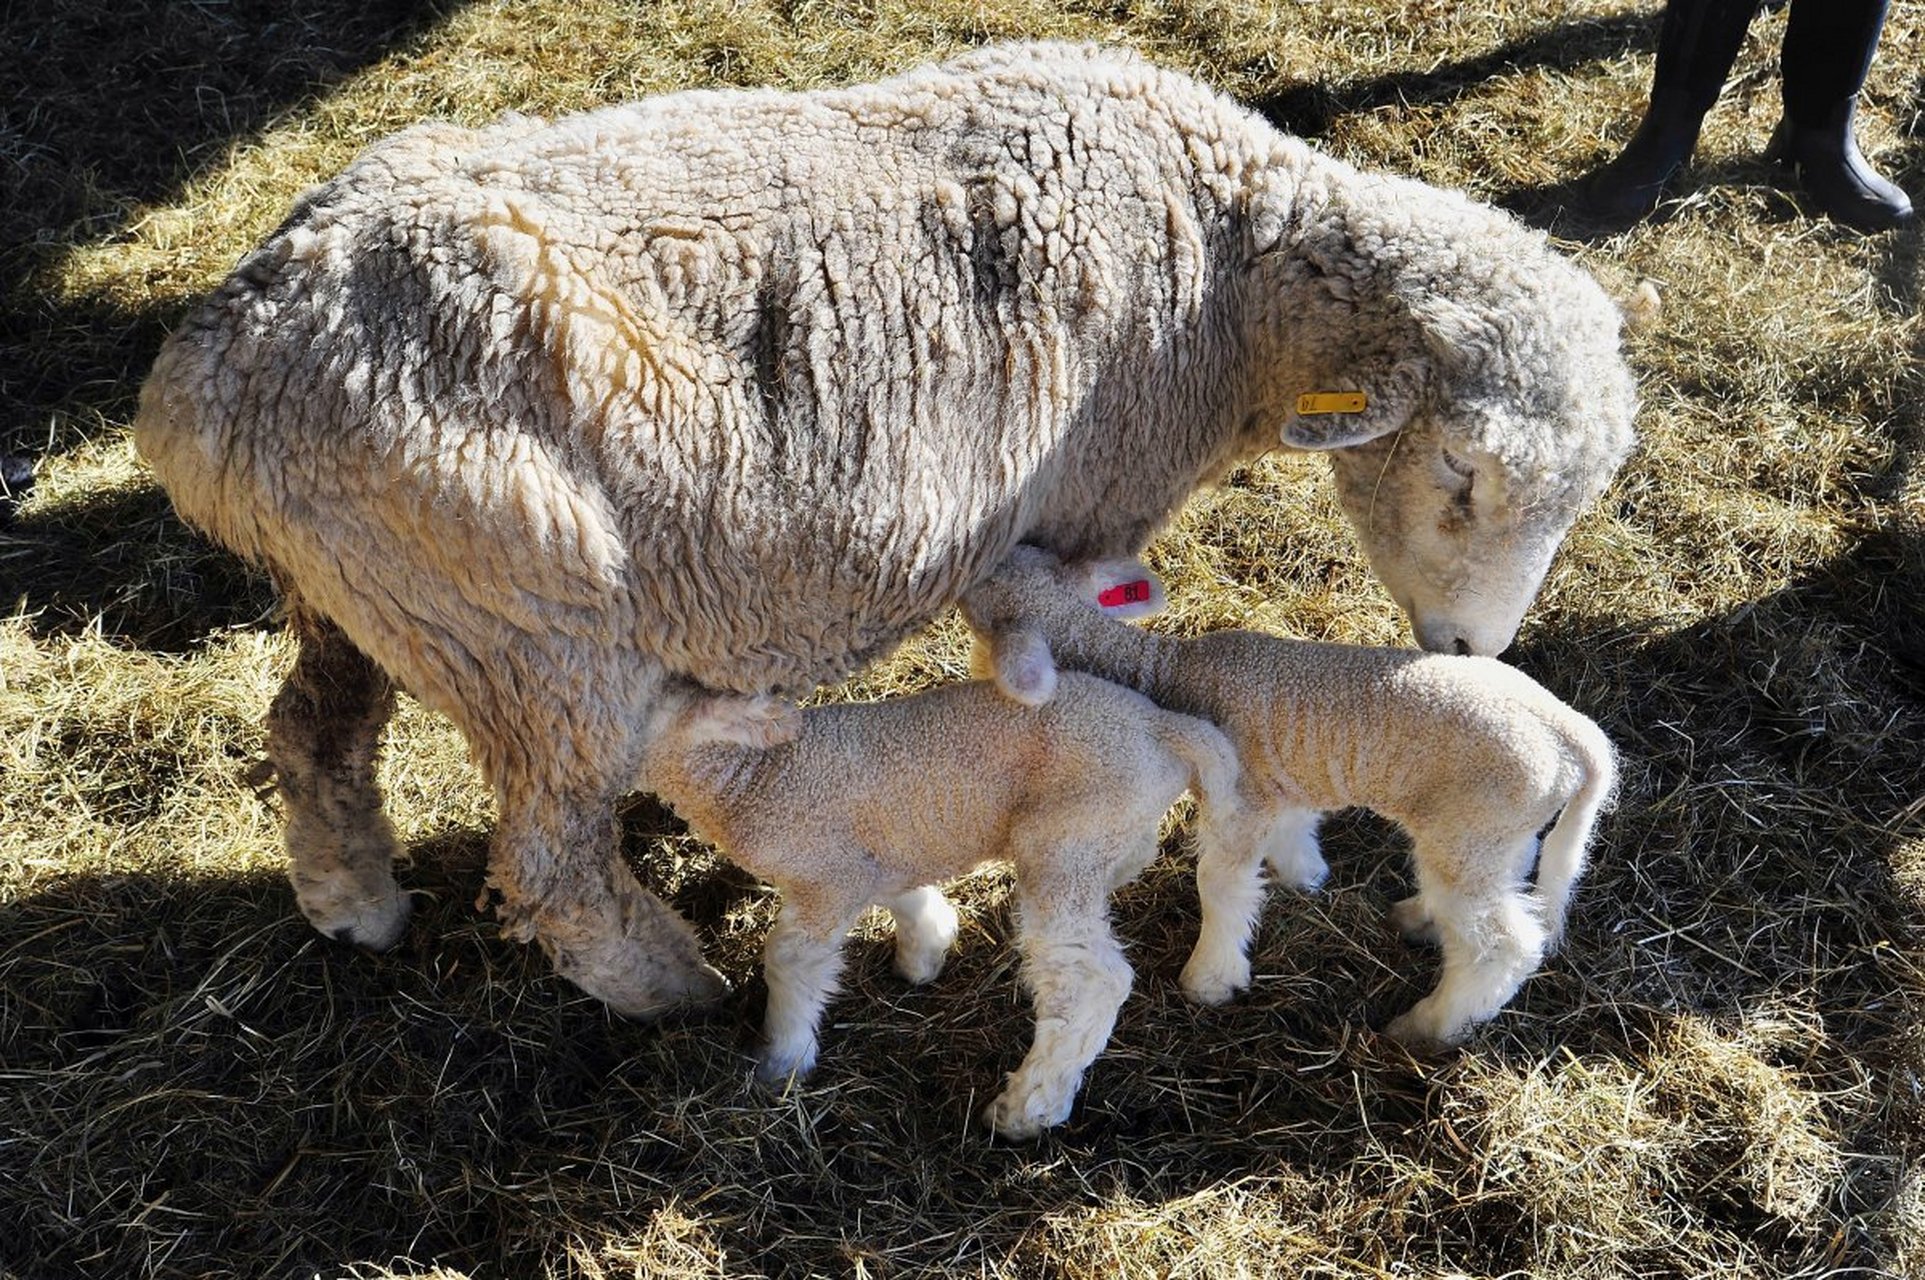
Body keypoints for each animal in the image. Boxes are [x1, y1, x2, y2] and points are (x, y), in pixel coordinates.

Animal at [631, 673, 1232, 1131]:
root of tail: (1163, 727)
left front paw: (781, 1059)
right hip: (1100, 834)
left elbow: (788, 961)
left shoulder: (828, 875)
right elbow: (909, 896)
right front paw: (925, 953)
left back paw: (1028, 1107)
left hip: (1067, 842)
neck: (755, 777)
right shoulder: (880, 854)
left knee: (1090, 980)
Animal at [954, 542, 1617, 1047]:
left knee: (1501, 947)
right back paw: (1420, 918)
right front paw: (1305, 875)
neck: (1169, 672)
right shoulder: (1277, 783)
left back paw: (1429, 1026)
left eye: (975, 604)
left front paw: (1210, 978)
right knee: (1508, 880)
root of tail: (1575, 734)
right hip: (1496, 829)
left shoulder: (1239, 797)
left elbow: (1220, 886)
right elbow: (1295, 829)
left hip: (1476, 829)